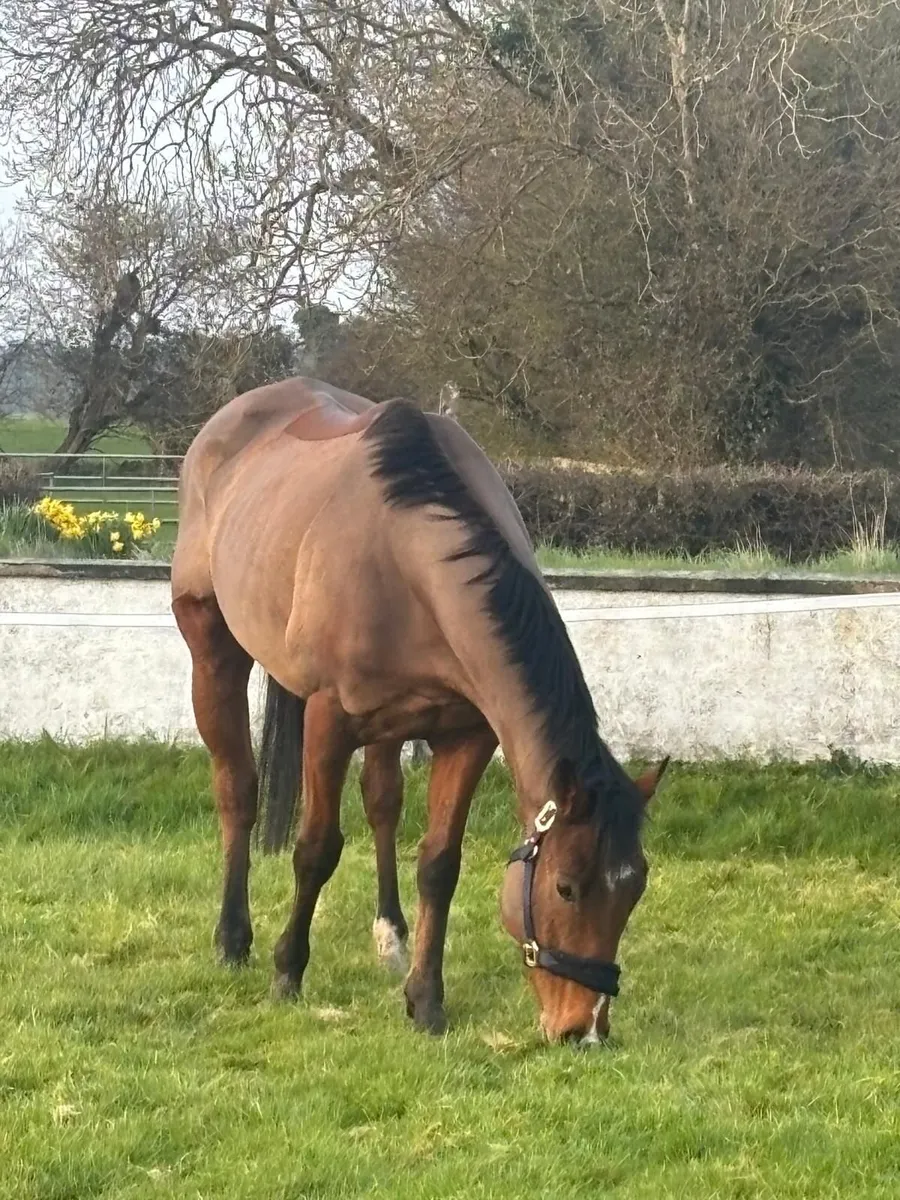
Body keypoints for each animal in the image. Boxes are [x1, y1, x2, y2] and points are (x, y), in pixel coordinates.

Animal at [171, 377, 668, 1044]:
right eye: (565, 887)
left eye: (634, 887)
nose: (583, 1030)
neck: (403, 553)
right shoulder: (327, 724)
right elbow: (316, 850)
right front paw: (288, 972)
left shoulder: (467, 735)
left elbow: (439, 864)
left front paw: (426, 999)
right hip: (213, 653)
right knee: (238, 791)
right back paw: (232, 938)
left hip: (388, 725)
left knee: (382, 800)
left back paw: (391, 937)